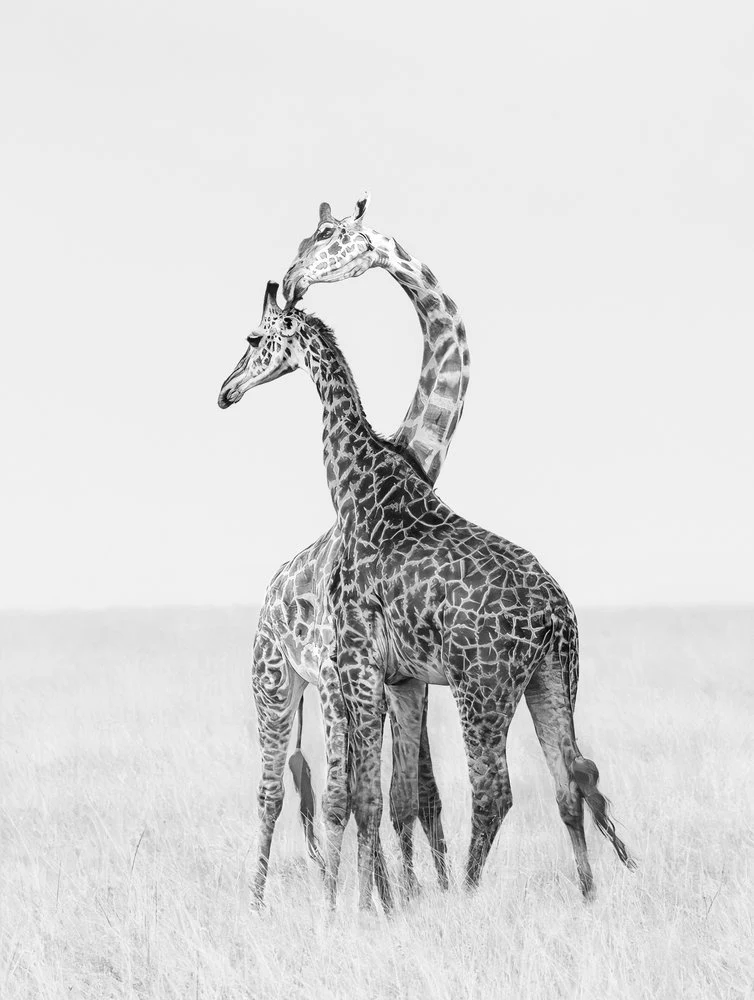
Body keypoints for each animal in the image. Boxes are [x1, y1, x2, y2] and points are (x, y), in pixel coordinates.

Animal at [218, 288, 635, 911]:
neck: (354, 486)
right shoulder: (396, 677)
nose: (225, 390)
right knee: (568, 781)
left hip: (478, 686)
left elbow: (367, 797)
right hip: (554, 679)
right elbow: (388, 796)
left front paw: (360, 906)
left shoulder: (360, 667)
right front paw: (377, 903)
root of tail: (557, 616)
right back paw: (586, 893)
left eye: (252, 338)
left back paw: (461, 892)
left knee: (492, 791)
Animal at [246, 196, 470, 906]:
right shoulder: (355, 672)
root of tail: (269, 594)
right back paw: (263, 899)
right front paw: (383, 897)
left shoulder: (398, 672)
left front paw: (417, 894)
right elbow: (373, 794)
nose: (292, 280)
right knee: (282, 789)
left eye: (328, 234)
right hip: (283, 682)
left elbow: (414, 793)